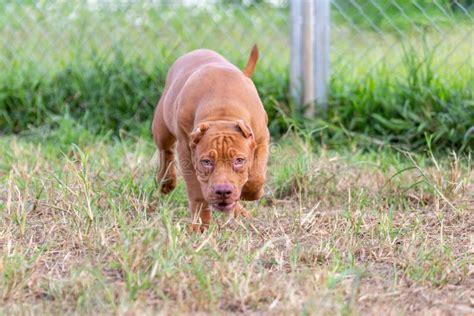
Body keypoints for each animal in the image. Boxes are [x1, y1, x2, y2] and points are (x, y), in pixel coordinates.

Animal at [153, 45, 268, 232]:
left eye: (239, 160)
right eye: (206, 162)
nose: (223, 191)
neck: (222, 111)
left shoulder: (261, 139)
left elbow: (257, 175)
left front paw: (250, 192)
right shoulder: (186, 151)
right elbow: (196, 192)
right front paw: (200, 225)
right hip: (162, 126)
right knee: (165, 151)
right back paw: (166, 182)